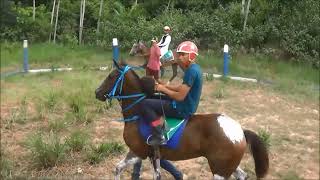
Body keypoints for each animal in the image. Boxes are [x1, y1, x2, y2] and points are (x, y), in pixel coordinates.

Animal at [95, 60, 270, 180]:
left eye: (111, 76)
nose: (97, 93)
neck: (137, 113)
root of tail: (240, 130)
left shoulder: (139, 152)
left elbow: (120, 168)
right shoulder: (151, 155)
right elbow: (121, 168)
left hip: (220, 171)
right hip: (228, 167)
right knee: (242, 175)